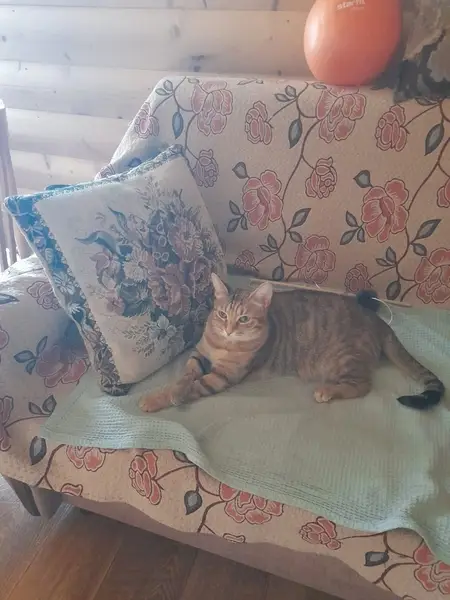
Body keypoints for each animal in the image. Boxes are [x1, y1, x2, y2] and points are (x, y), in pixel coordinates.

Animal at [139, 274, 444, 413]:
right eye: (222, 314)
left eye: (244, 319)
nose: (227, 329)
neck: (222, 345)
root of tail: (377, 320)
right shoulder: (199, 354)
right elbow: (186, 375)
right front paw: (173, 389)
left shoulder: (223, 376)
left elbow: (194, 384)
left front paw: (157, 399)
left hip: (343, 360)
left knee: (362, 386)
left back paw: (327, 391)